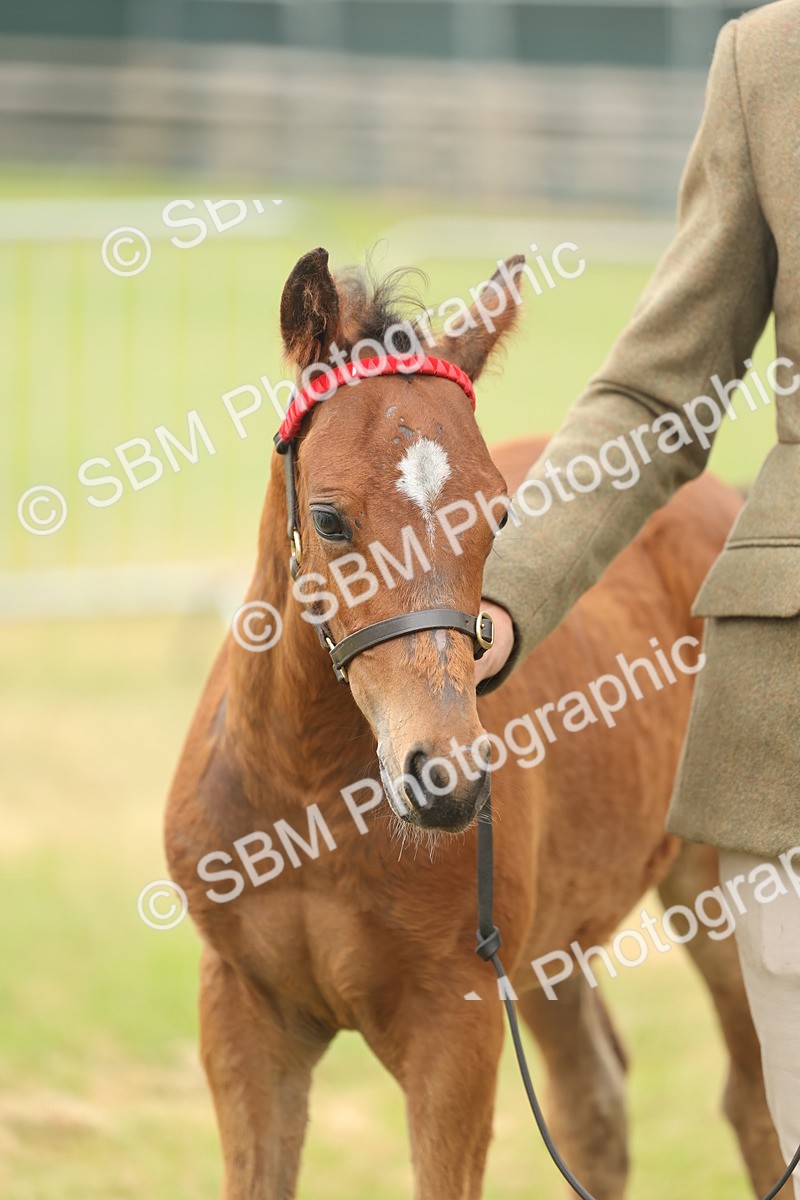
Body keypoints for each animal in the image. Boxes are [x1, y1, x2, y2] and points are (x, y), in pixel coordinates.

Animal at [165, 247, 783, 1199]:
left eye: (497, 514)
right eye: (329, 518)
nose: (446, 780)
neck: (304, 790)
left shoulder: (455, 1028)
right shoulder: (240, 1009)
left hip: (717, 887)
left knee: (753, 1102)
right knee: (595, 1102)